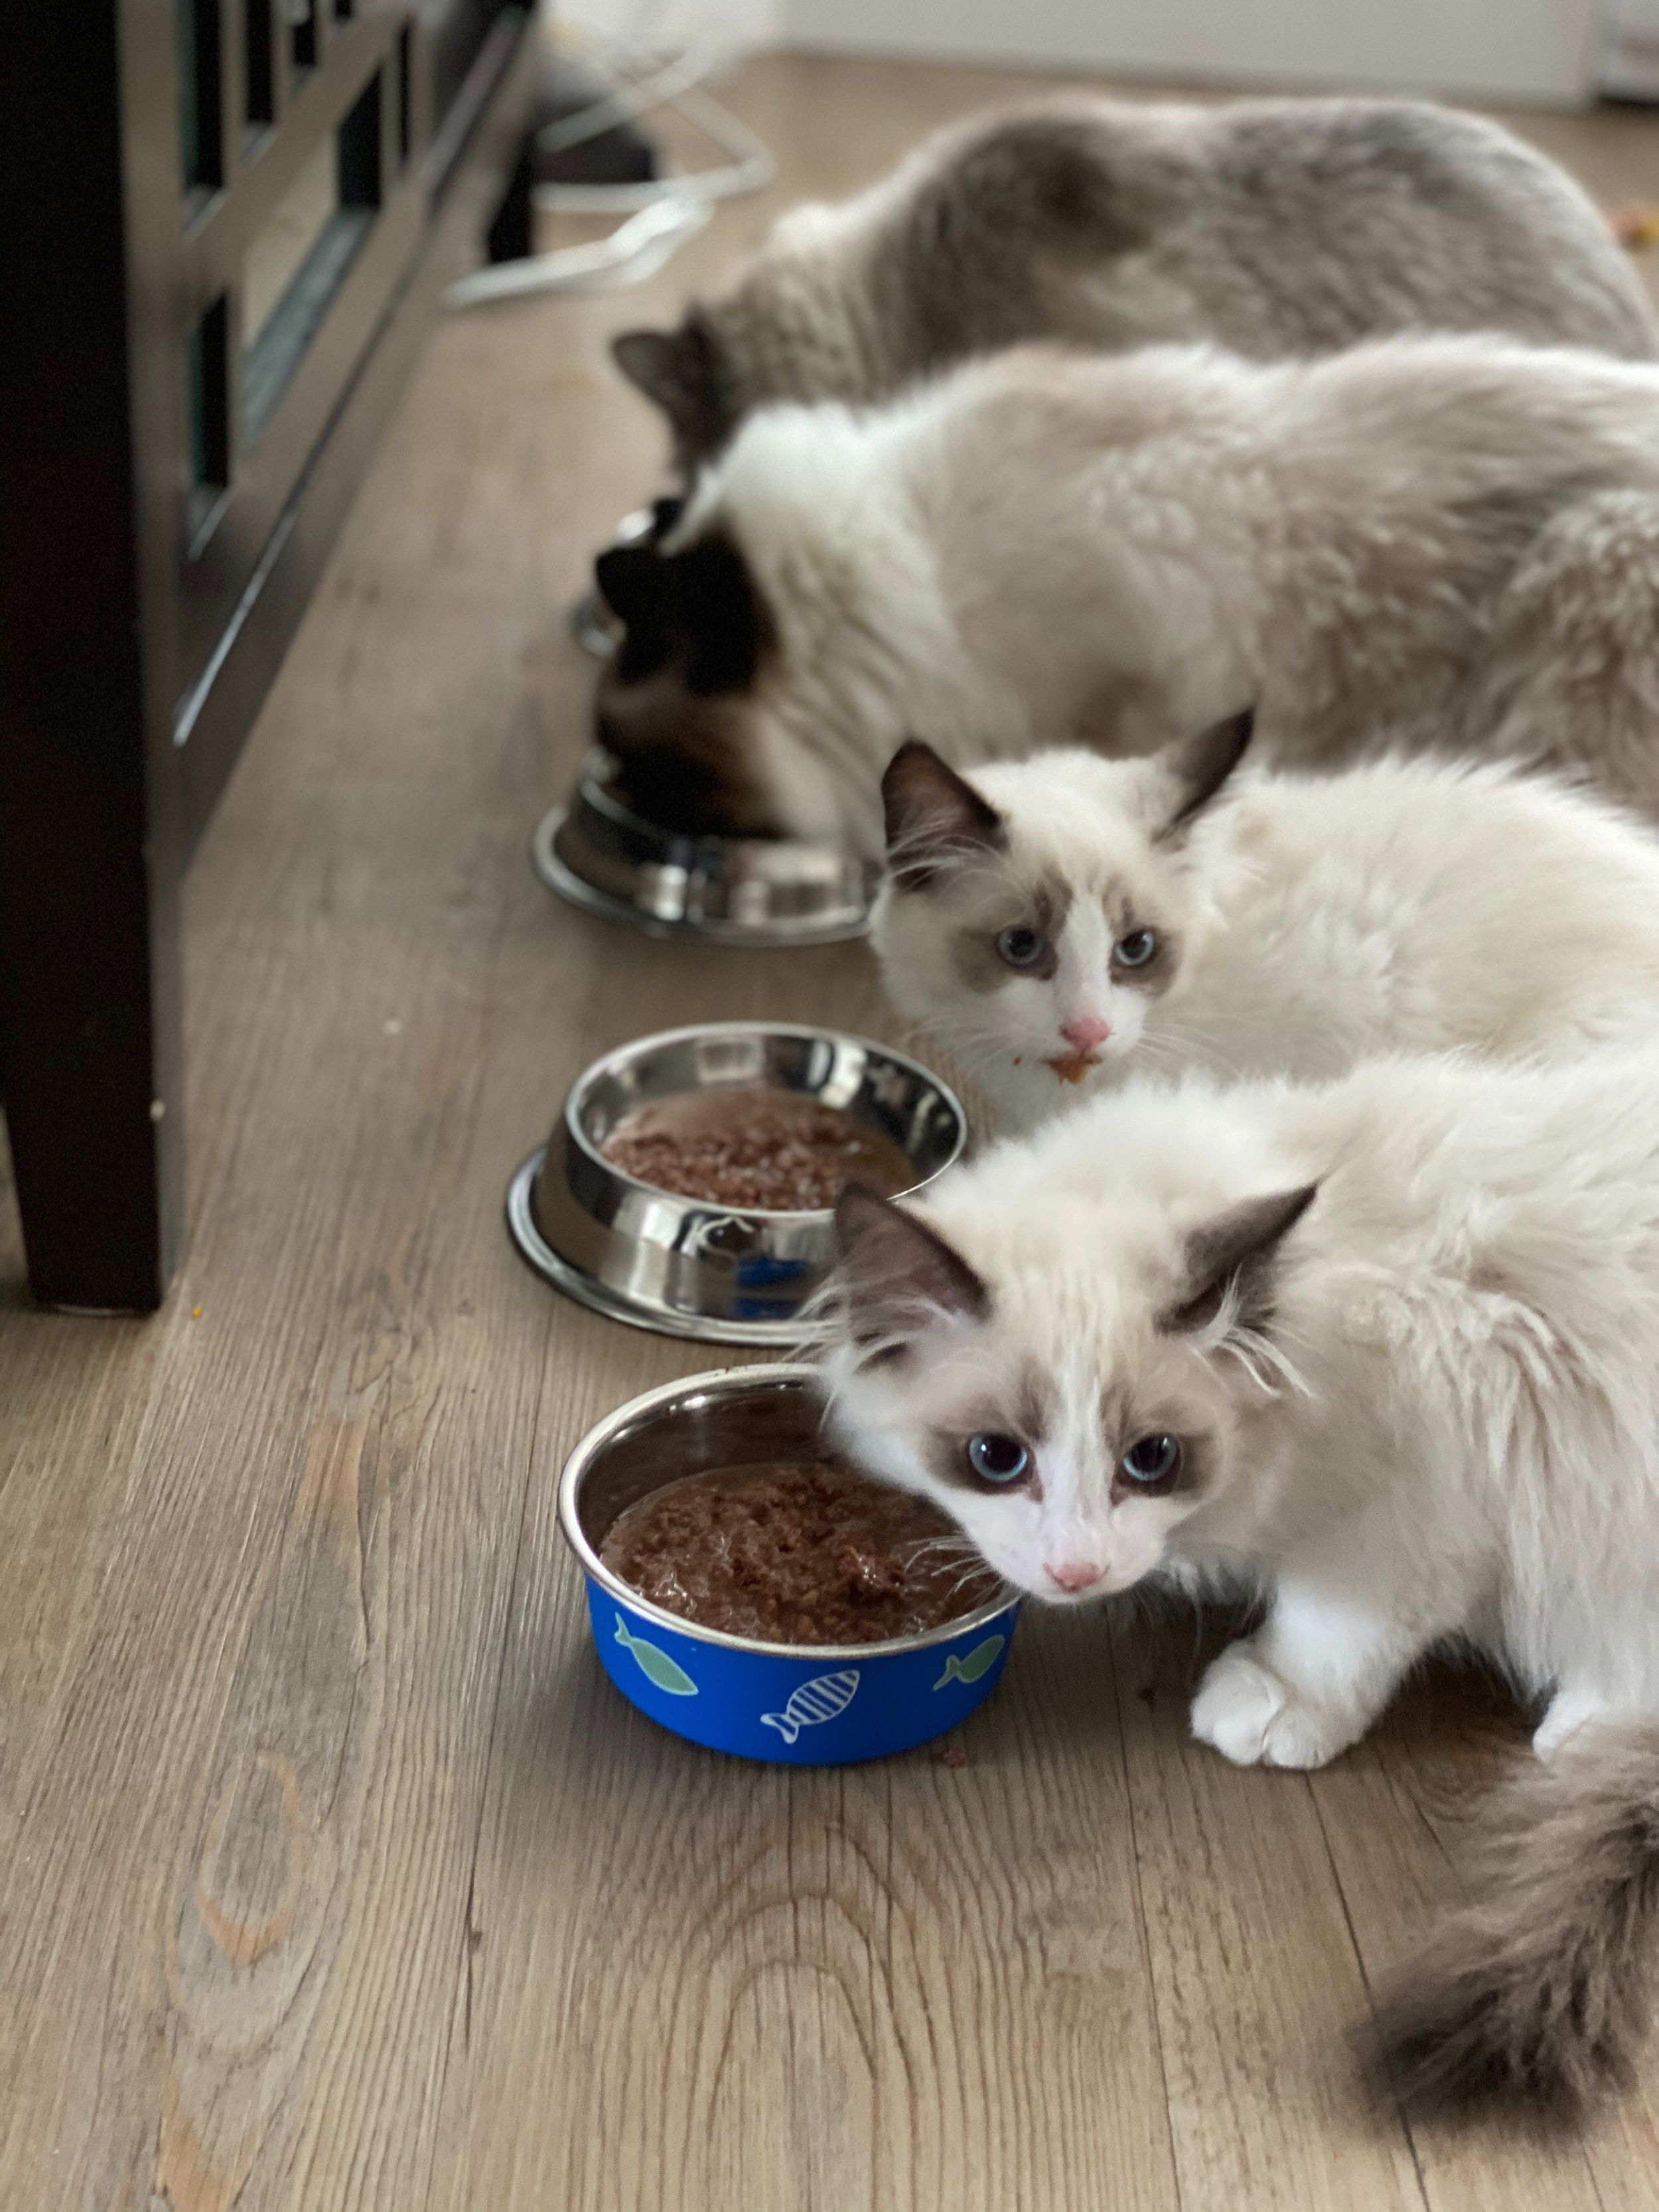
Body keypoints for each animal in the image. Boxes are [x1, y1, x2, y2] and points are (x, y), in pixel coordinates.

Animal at [827, 1044, 1659, 2114]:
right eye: (994, 1457)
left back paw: (1579, 1730)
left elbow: (1336, 1628)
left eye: (1152, 1459)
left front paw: (1269, 1704)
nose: (1075, 1568)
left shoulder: (1419, 1506)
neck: (1313, 1330)